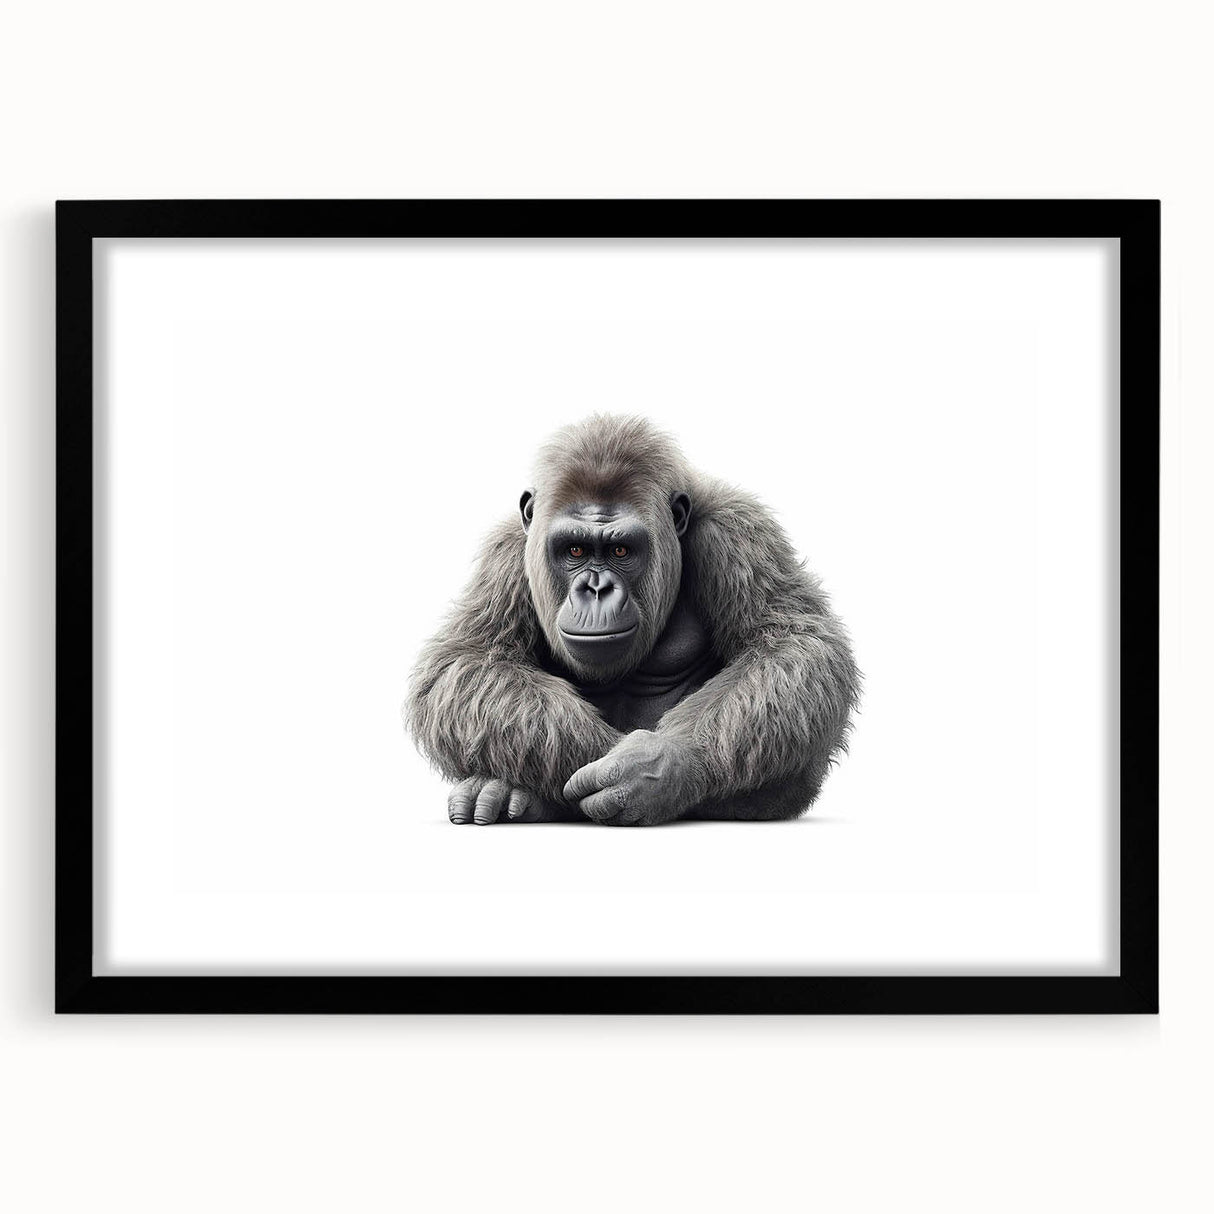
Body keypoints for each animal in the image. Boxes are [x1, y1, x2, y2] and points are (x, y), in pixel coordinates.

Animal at [404, 415, 859, 826]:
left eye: (621, 551)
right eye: (574, 550)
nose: (597, 588)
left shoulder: (737, 530)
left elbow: (792, 644)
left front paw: (657, 767)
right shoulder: (507, 551)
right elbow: (469, 660)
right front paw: (595, 763)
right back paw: (504, 792)